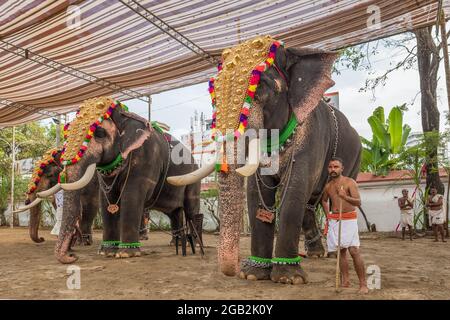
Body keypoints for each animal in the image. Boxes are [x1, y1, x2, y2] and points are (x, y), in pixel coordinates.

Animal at [35, 97, 202, 262]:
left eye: (99, 133)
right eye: (66, 135)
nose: (72, 256)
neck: (124, 115)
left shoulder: (146, 158)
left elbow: (130, 196)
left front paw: (126, 254)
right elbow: (106, 199)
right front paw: (106, 252)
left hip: (193, 178)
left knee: (190, 209)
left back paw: (194, 245)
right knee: (174, 212)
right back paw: (176, 243)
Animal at [167, 36, 360, 284]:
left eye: (259, 87)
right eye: (213, 95)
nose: (235, 266)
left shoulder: (312, 136)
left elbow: (293, 190)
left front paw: (288, 279)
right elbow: (256, 193)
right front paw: (252, 274)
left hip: (355, 157)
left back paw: (333, 253)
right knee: (309, 205)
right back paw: (316, 254)